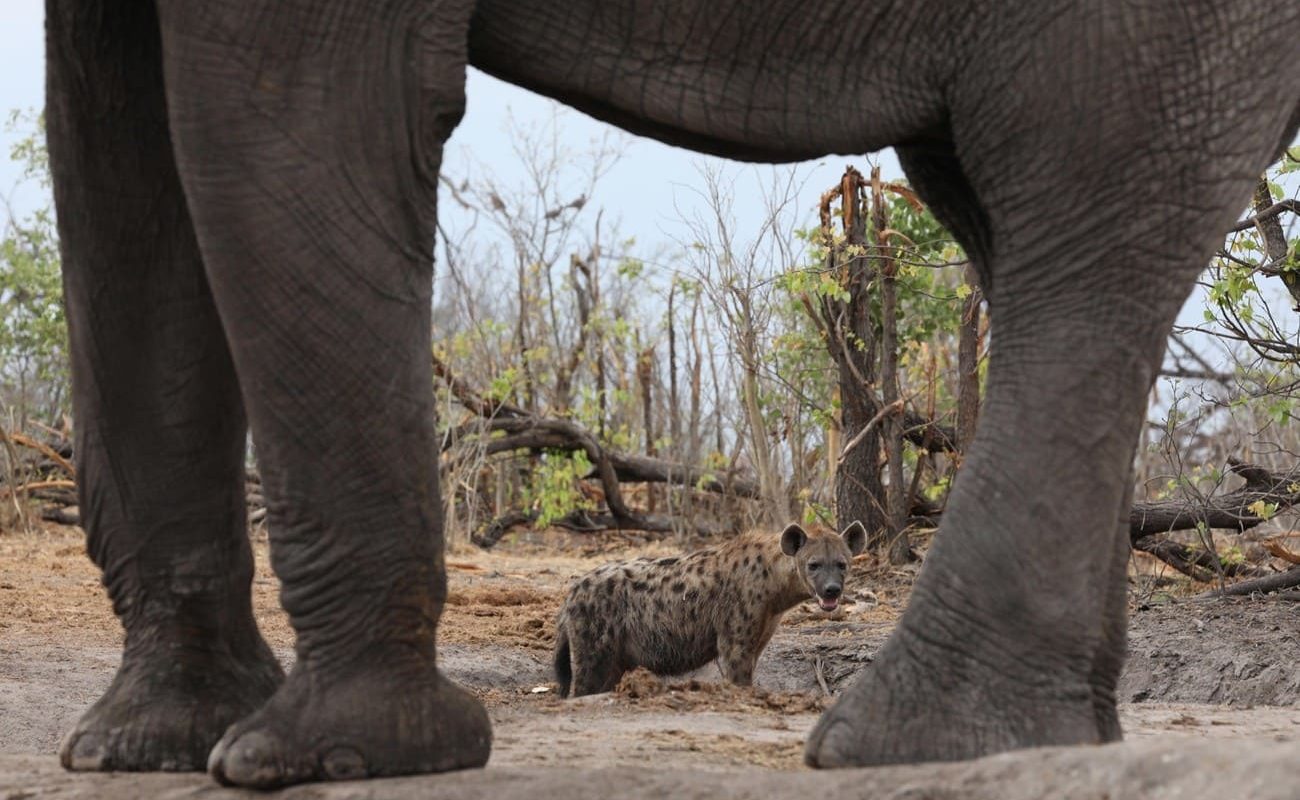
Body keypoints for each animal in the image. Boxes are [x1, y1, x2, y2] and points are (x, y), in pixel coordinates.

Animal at [44, 0, 1299, 790]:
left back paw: (897, 744)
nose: (837, 587)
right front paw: (143, 748)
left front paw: (309, 756)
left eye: (837, 564)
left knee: (1083, 220)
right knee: (1014, 218)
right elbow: (110, 148)